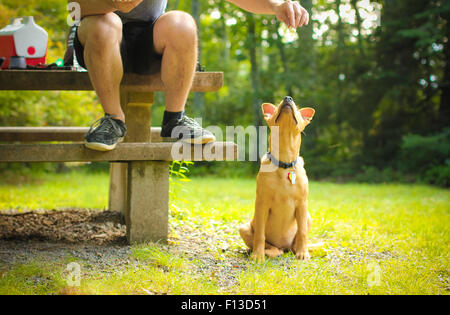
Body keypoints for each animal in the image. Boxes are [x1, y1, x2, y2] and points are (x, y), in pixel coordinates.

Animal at [239, 97, 316, 264]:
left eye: (297, 108)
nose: (287, 98)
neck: (284, 163)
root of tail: (283, 247)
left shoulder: (302, 204)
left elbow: (302, 232)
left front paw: (303, 253)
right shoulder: (262, 204)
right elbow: (260, 234)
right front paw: (258, 255)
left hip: (307, 217)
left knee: (295, 241)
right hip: (244, 228)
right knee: (268, 245)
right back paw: (267, 251)